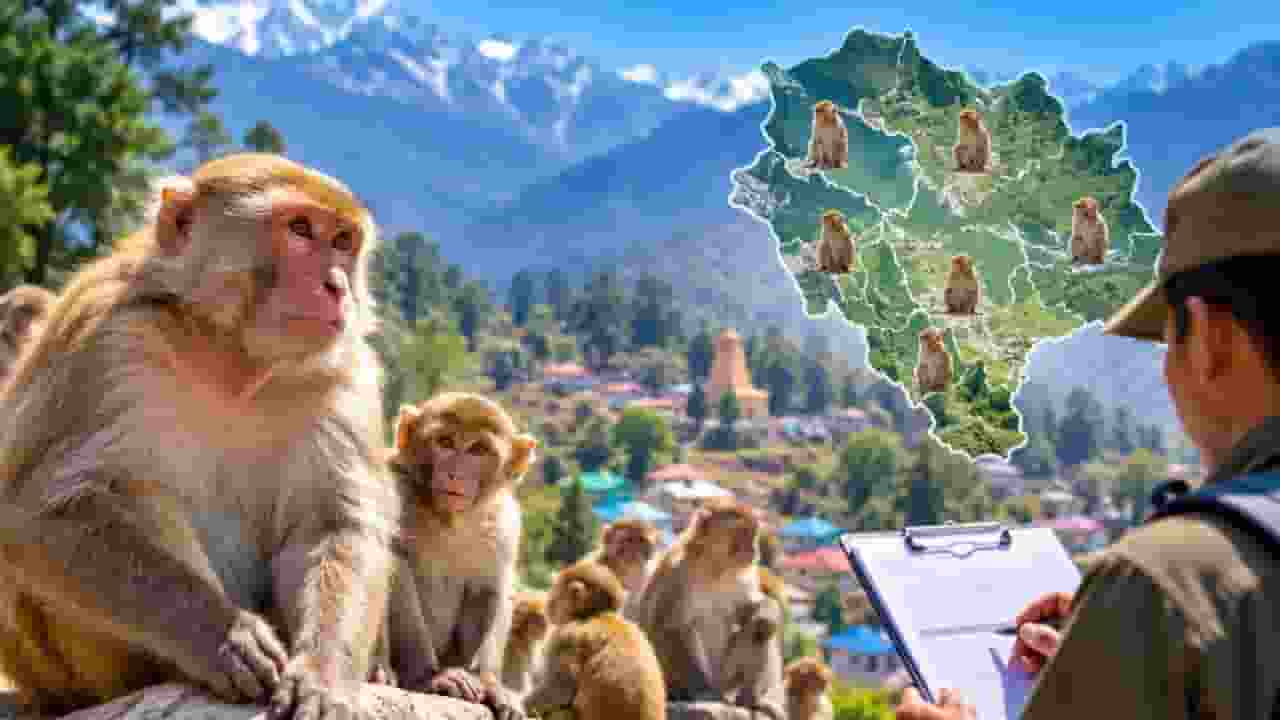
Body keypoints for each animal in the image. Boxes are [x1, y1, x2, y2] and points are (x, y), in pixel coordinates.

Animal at [0, 154, 398, 720]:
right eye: (301, 229)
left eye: (344, 241)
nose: (337, 285)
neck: (231, 360)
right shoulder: (104, 338)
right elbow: (37, 509)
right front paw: (222, 638)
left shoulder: (345, 378)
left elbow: (334, 523)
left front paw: (323, 675)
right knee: (132, 489)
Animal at [371, 392, 536, 720]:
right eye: (445, 442)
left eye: (478, 450)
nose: (455, 473)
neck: (450, 519)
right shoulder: (394, 489)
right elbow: (395, 566)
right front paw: (429, 676)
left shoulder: (504, 523)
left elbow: (490, 589)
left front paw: (491, 682)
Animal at [632, 497, 786, 720]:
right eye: (742, 533)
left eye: (753, 533)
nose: (754, 549)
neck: (715, 567)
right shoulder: (677, 574)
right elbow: (669, 628)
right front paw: (701, 690)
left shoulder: (744, 575)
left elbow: (752, 608)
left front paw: (765, 614)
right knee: (688, 630)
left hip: (727, 680)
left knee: (758, 631)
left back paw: (750, 700)